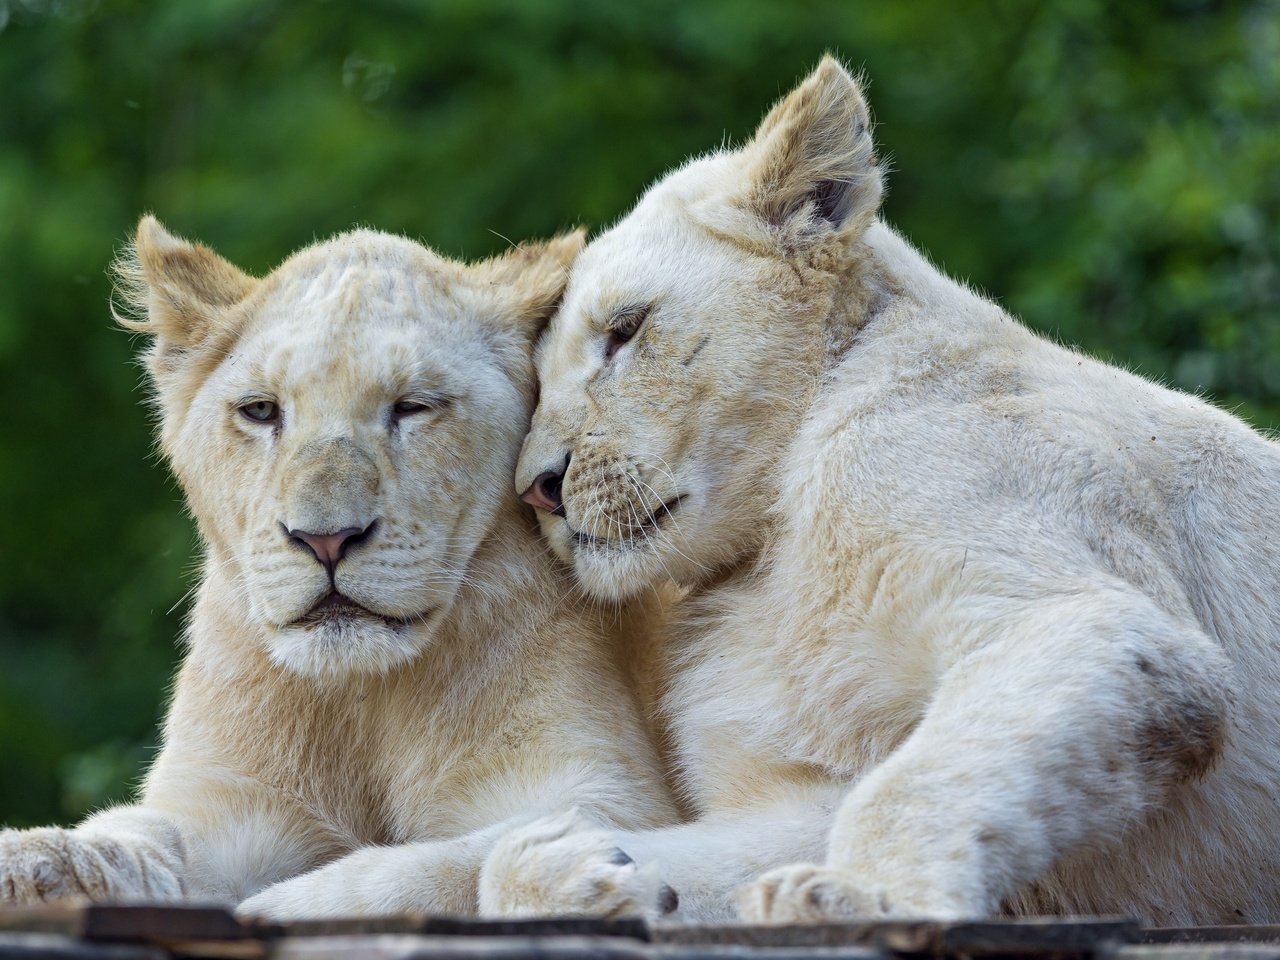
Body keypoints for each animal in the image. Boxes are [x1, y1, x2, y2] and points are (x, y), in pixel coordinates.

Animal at [0, 217, 680, 926]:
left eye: (413, 406)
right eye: (261, 410)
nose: (325, 540)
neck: (359, 697)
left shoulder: (605, 786)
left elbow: (418, 867)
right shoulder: (225, 801)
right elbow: (138, 834)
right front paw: (33, 860)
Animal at [488, 56, 1280, 926]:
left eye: (625, 330)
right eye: (537, 379)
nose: (538, 488)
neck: (768, 555)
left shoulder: (1086, 606)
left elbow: (918, 782)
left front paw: (855, 899)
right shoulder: (803, 779)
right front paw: (583, 872)